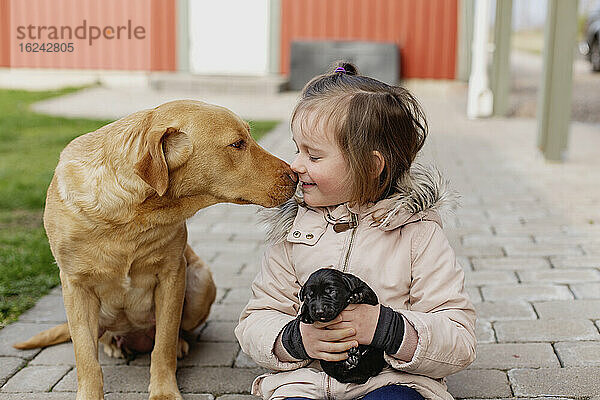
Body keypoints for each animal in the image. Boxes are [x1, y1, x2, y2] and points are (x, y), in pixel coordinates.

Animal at [12, 98, 296, 398]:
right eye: (238, 144)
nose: (295, 175)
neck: (131, 215)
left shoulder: (172, 275)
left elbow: (164, 344)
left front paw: (164, 390)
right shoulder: (74, 285)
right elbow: (86, 357)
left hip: (201, 282)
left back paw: (180, 344)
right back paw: (113, 345)